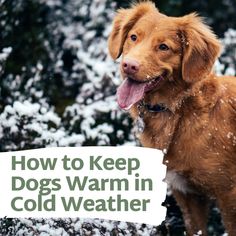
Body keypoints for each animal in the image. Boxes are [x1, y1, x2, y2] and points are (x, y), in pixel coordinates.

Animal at [109, 1, 236, 236]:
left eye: (163, 47)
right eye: (133, 37)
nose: (129, 65)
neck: (178, 113)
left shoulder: (229, 194)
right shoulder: (186, 193)